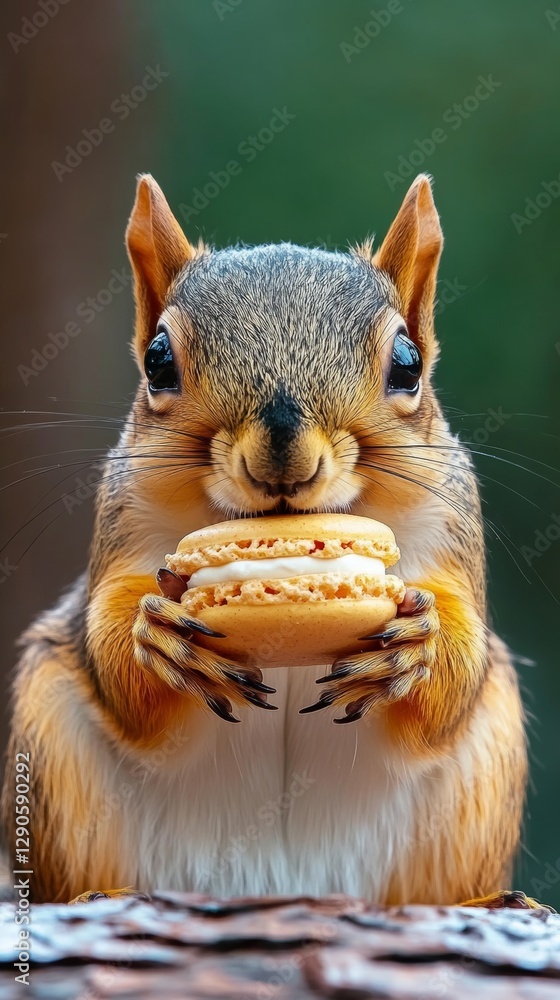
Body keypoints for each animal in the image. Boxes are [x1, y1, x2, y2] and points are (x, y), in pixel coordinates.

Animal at [1, 172, 529, 907]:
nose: (284, 459)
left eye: (407, 363)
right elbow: (114, 662)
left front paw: (420, 642)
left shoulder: (453, 531)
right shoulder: (121, 526)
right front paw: (153, 633)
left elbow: (456, 674)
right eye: (158, 361)